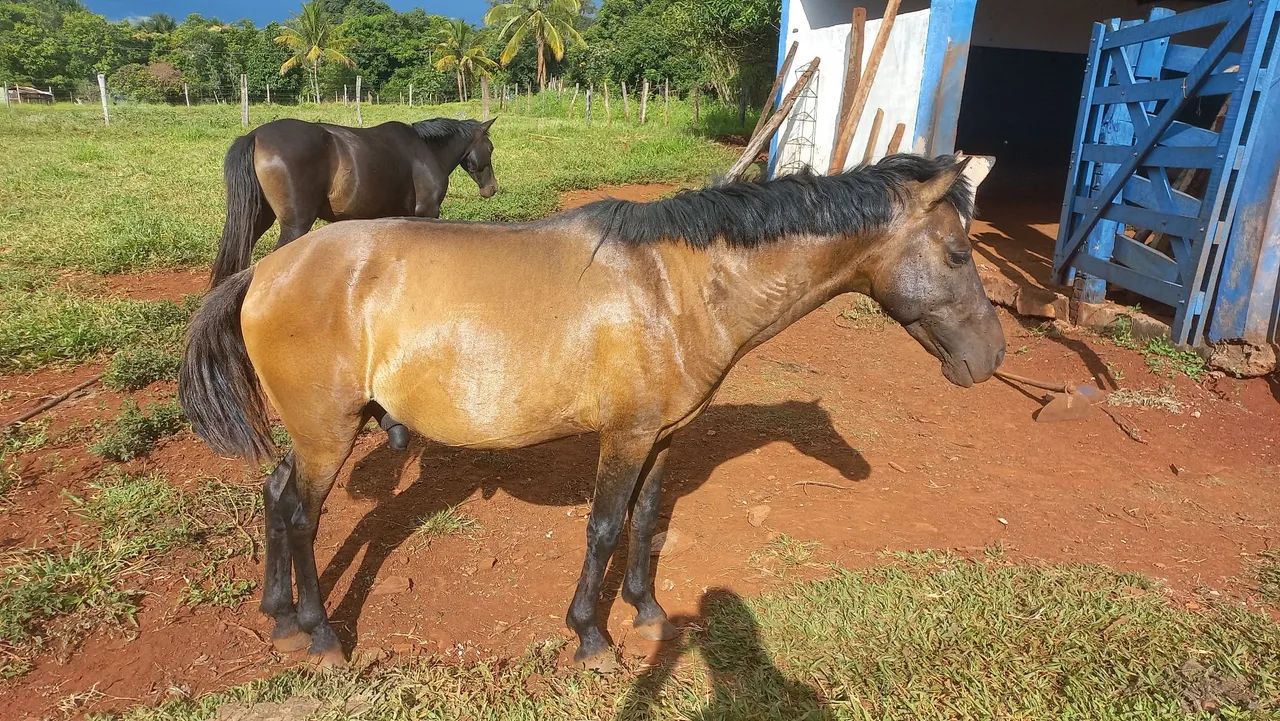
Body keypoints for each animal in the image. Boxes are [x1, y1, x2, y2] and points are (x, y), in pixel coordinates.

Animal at [178, 154, 1005, 670]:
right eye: (959, 254)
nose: (991, 357)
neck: (676, 283)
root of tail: (265, 270)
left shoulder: (665, 435)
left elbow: (645, 520)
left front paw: (645, 609)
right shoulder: (625, 436)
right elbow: (605, 526)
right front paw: (590, 635)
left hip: (314, 434)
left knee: (275, 495)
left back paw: (278, 614)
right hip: (328, 434)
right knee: (303, 514)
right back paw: (320, 634)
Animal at [209, 116, 498, 287]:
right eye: (491, 148)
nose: (491, 188)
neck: (426, 151)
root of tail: (255, 136)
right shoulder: (427, 212)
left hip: (259, 218)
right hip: (295, 226)